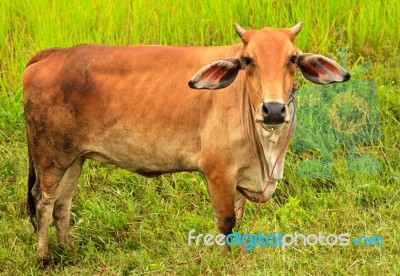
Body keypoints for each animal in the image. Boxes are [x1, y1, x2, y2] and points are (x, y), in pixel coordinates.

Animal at [23, 22, 350, 264]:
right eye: (247, 60)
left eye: (292, 58)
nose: (273, 109)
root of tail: (53, 54)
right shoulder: (218, 172)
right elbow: (226, 222)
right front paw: (225, 261)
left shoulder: (241, 175)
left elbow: (239, 216)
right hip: (49, 156)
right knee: (43, 200)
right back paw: (44, 258)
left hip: (73, 158)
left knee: (63, 203)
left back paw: (69, 247)